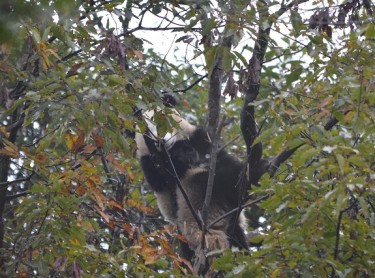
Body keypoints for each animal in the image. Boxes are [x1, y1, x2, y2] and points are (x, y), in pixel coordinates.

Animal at [135, 107, 250, 260]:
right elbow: (164, 176)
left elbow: (214, 151)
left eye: (161, 122)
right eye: (147, 133)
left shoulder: (199, 138)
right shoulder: (151, 164)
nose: (161, 141)